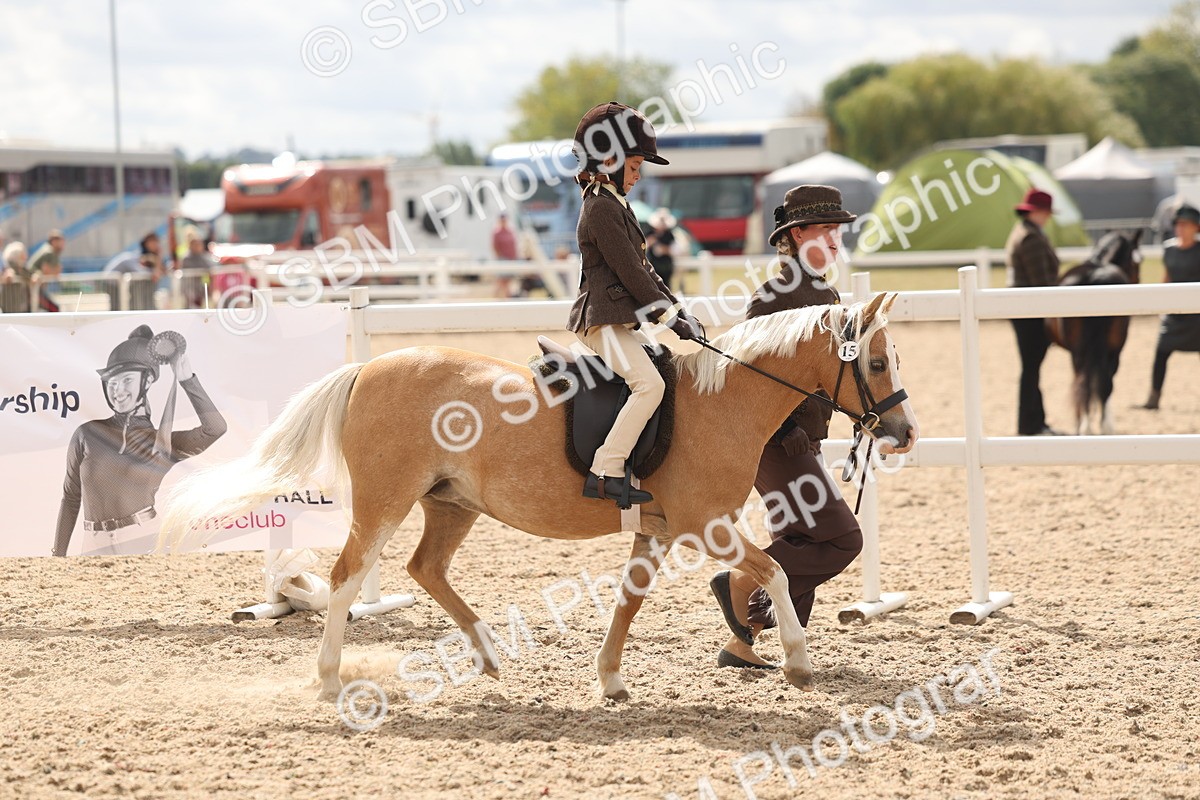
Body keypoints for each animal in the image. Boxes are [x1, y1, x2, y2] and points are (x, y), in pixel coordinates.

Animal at [160, 293, 918, 702]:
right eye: (878, 362)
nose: (905, 432)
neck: (719, 401)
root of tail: (368, 368)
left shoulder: (658, 528)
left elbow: (629, 602)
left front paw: (610, 680)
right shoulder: (706, 525)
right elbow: (780, 571)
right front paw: (796, 660)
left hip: (450, 504)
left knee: (424, 570)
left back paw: (489, 654)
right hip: (385, 502)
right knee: (349, 578)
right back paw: (326, 678)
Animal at [1046, 231, 1143, 435]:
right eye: (1138, 262)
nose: (1138, 279)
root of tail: (1096, 276)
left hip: (1083, 352)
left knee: (1084, 382)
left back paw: (1088, 428)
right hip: (1107, 350)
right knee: (1097, 383)